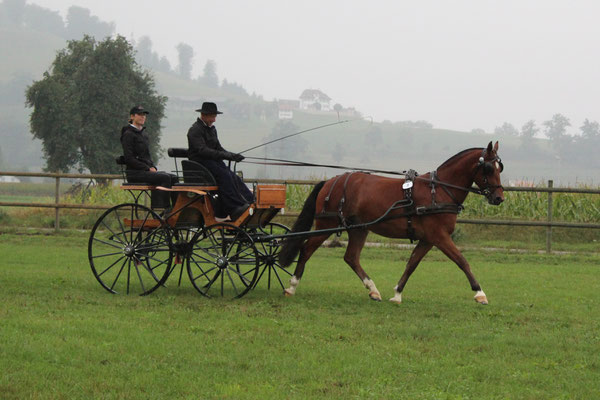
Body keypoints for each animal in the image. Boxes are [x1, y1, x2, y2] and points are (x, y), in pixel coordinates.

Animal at [278, 141, 504, 304]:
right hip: (326, 225)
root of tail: (331, 181)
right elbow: (461, 260)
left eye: (499, 167)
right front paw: (480, 293)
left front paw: (397, 294)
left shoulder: (428, 239)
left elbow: (412, 263)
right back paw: (292, 286)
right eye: (488, 168)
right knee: (306, 250)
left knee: (351, 257)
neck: (438, 190)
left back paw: (373, 290)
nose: (499, 198)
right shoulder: (439, 236)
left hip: (359, 229)